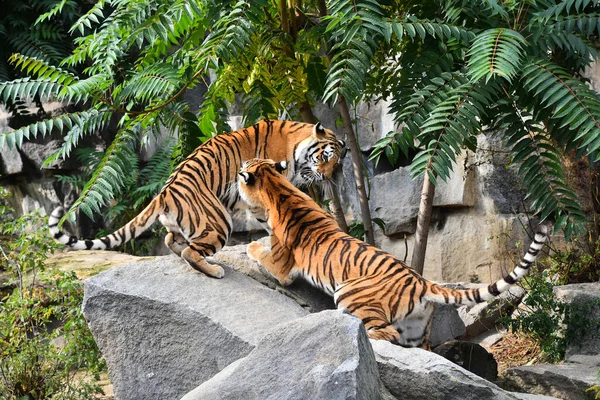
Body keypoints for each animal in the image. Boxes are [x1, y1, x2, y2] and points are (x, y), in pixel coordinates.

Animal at [48, 120, 344, 280]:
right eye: (326, 156)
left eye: (337, 161)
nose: (329, 176)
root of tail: (163, 192)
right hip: (218, 221)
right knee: (190, 251)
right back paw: (214, 271)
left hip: (189, 224)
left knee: (172, 240)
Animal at [238, 158, 548, 348]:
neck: (276, 186)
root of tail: (422, 282)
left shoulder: (282, 268)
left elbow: (262, 253)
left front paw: (250, 246)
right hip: (417, 330)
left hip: (348, 292)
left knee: (383, 332)